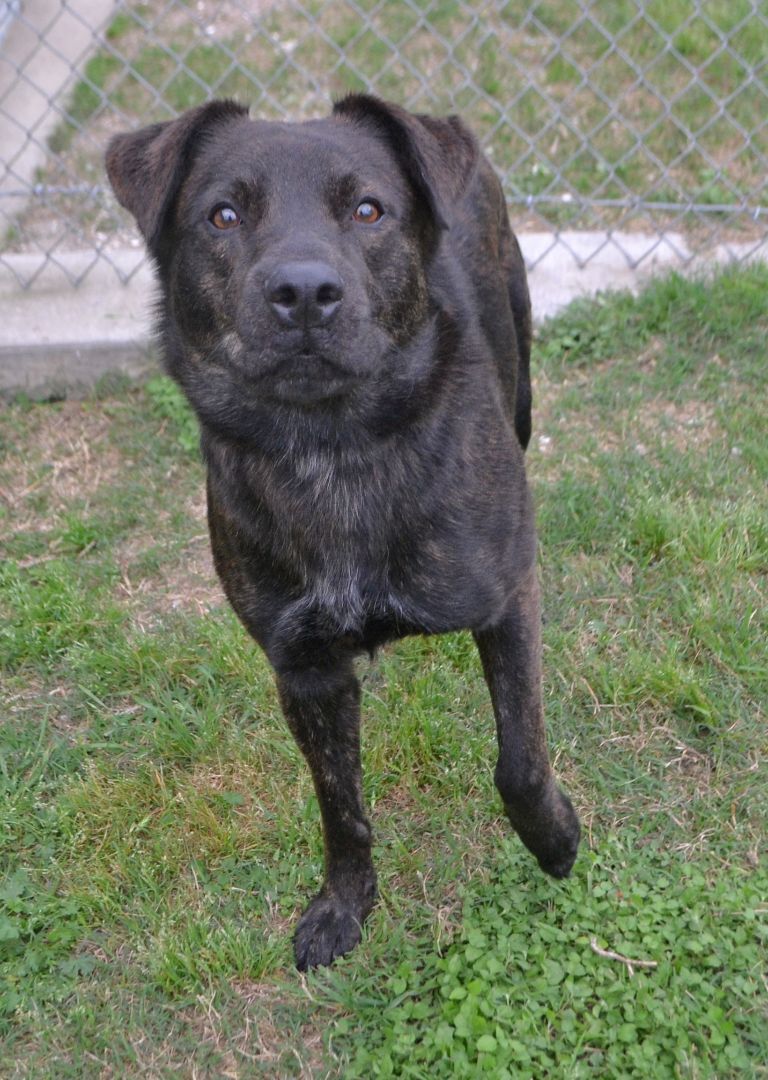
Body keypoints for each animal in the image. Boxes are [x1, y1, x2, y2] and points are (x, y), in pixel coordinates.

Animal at [106, 95, 580, 970]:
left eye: (368, 210)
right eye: (223, 215)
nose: (302, 291)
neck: (333, 449)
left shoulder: (506, 599)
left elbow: (520, 758)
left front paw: (556, 841)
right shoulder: (304, 668)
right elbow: (338, 801)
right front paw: (343, 903)